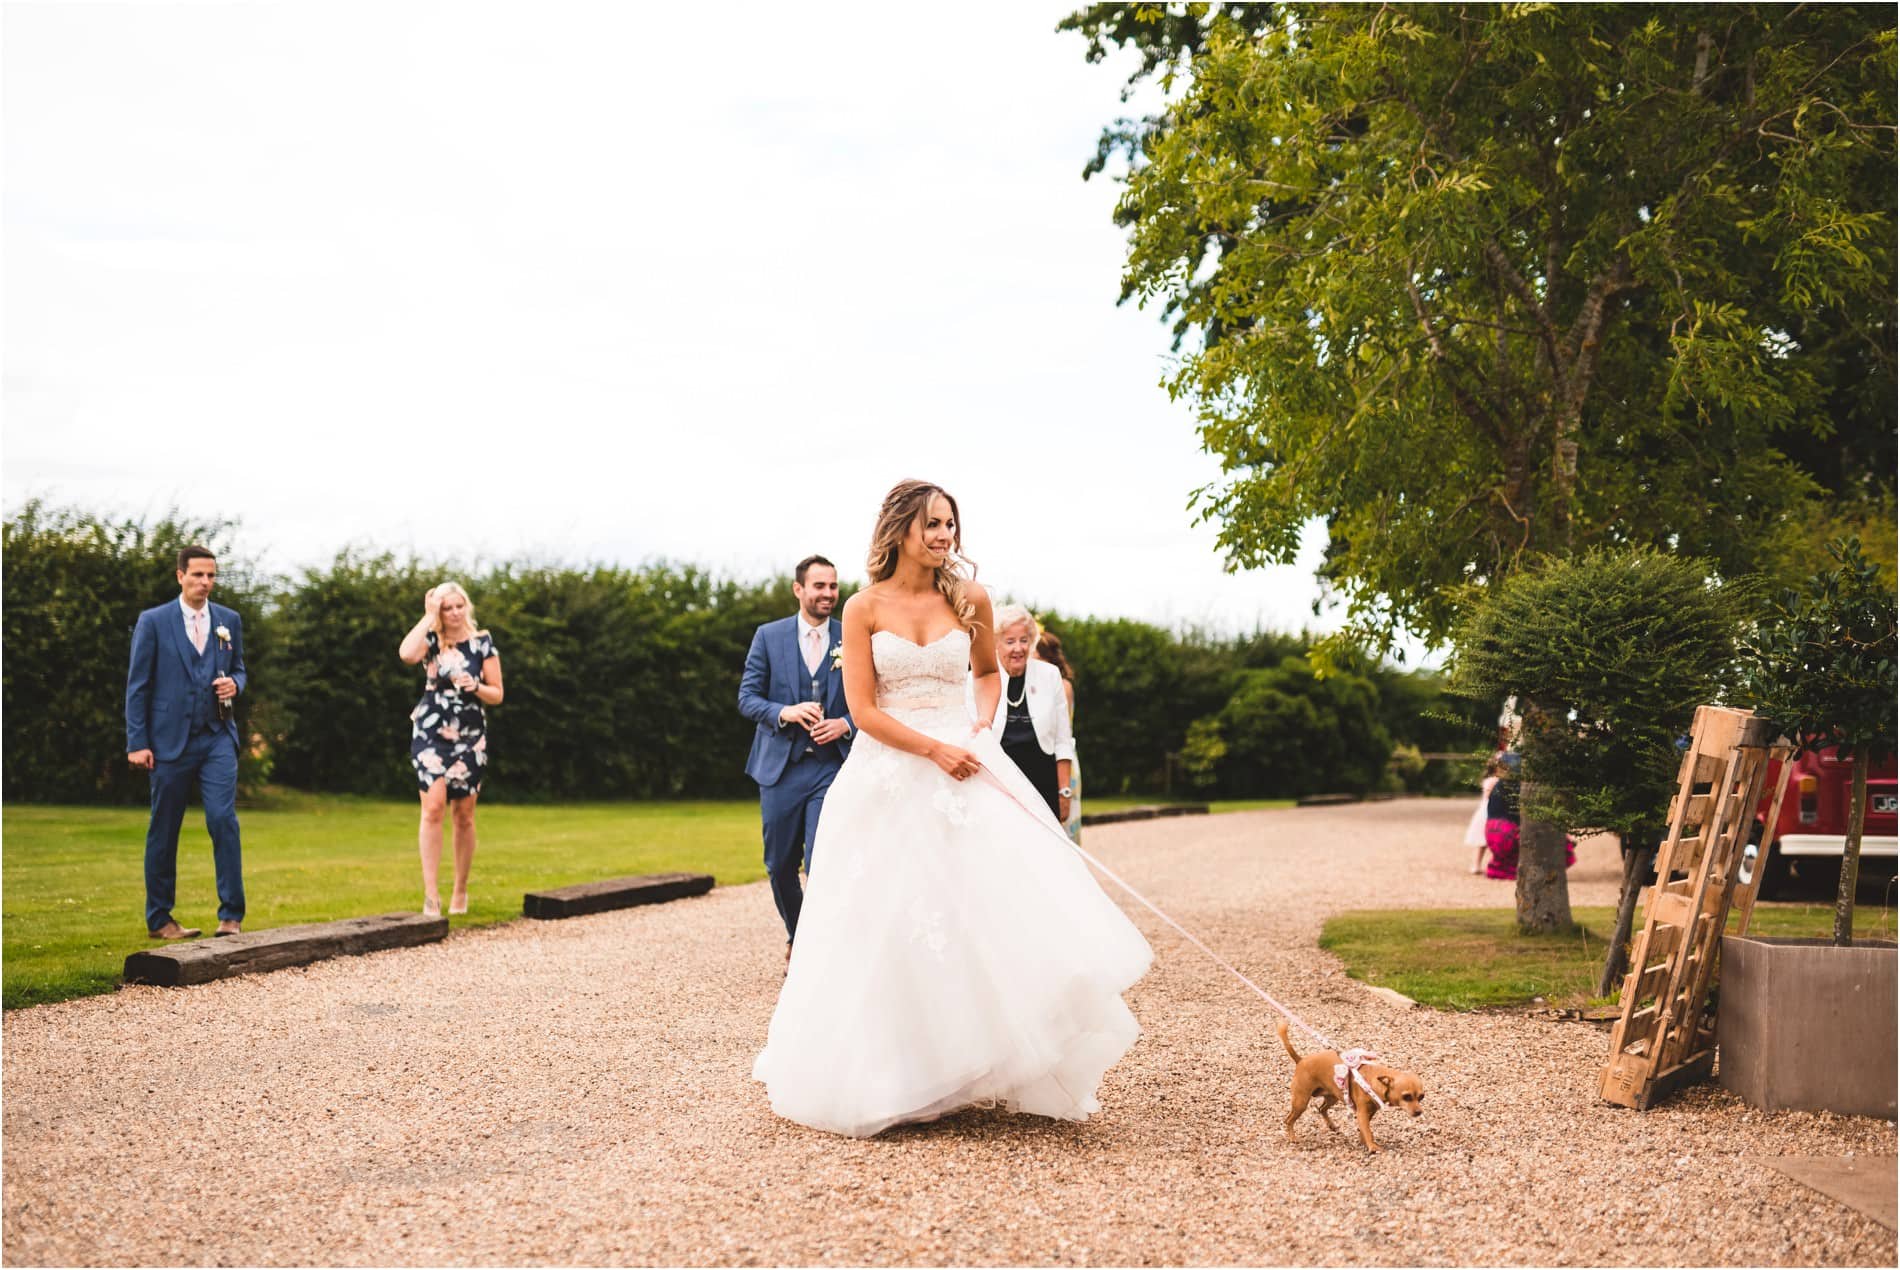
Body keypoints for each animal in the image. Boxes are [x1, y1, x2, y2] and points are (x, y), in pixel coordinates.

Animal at [1276, 1019, 1428, 1148]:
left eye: (1421, 1097)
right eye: (1406, 1097)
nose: (1419, 1112)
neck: (1373, 1080)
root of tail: (1300, 1060)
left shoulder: (1369, 1113)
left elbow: (1364, 1130)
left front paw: (1364, 1142)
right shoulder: (1362, 1113)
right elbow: (1367, 1130)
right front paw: (1373, 1147)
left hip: (1333, 1097)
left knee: (1321, 1109)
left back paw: (1331, 1125)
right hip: (1301, 1102)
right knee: (1289, 1120)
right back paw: (1292, 1138)